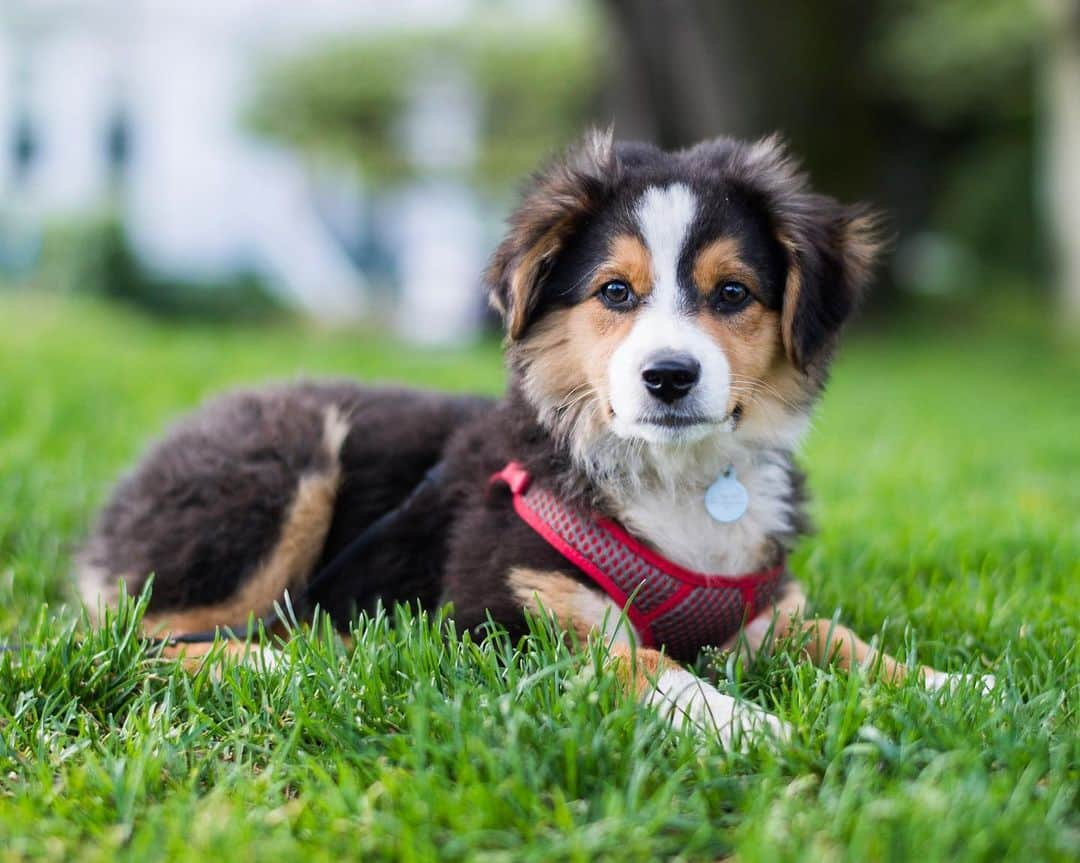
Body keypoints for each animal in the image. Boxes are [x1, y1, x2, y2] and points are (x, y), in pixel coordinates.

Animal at [73, 131, 989, 747]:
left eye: (732, 293)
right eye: (615, 291)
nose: (669, 376)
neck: (671, 478)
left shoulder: (764, 609)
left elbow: (842, 637)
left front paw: (954, 683)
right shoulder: (501, 615)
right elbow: (638, 661)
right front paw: (738, 719)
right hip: (287, 464)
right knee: (132, 640)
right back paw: (303, 656)